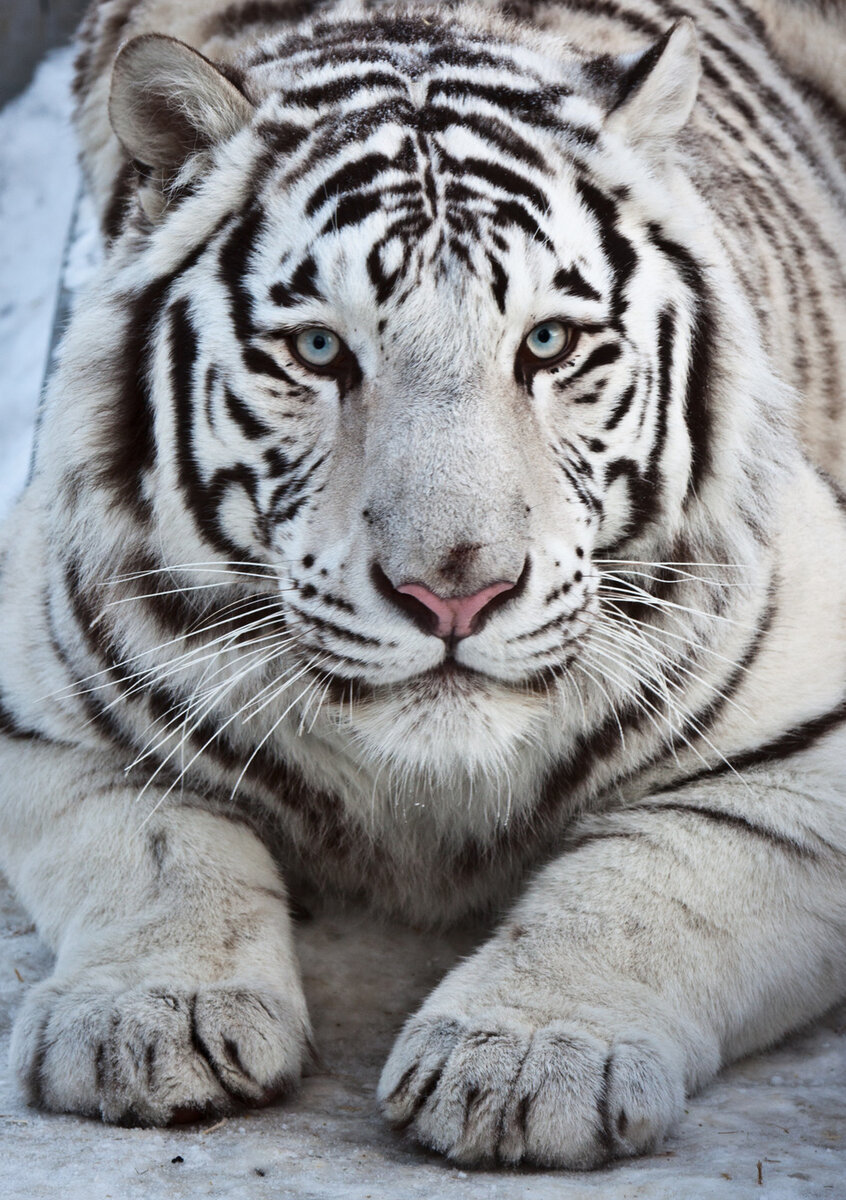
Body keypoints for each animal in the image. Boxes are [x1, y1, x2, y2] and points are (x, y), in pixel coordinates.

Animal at [1, 0, 844, 1171]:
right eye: (319, 349)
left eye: (549, 342)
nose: (457, 592)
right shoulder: (48, 718)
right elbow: (157, 849)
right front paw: (142, 1019)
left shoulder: (805, 759)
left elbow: (642, 890)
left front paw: (524, 1060)